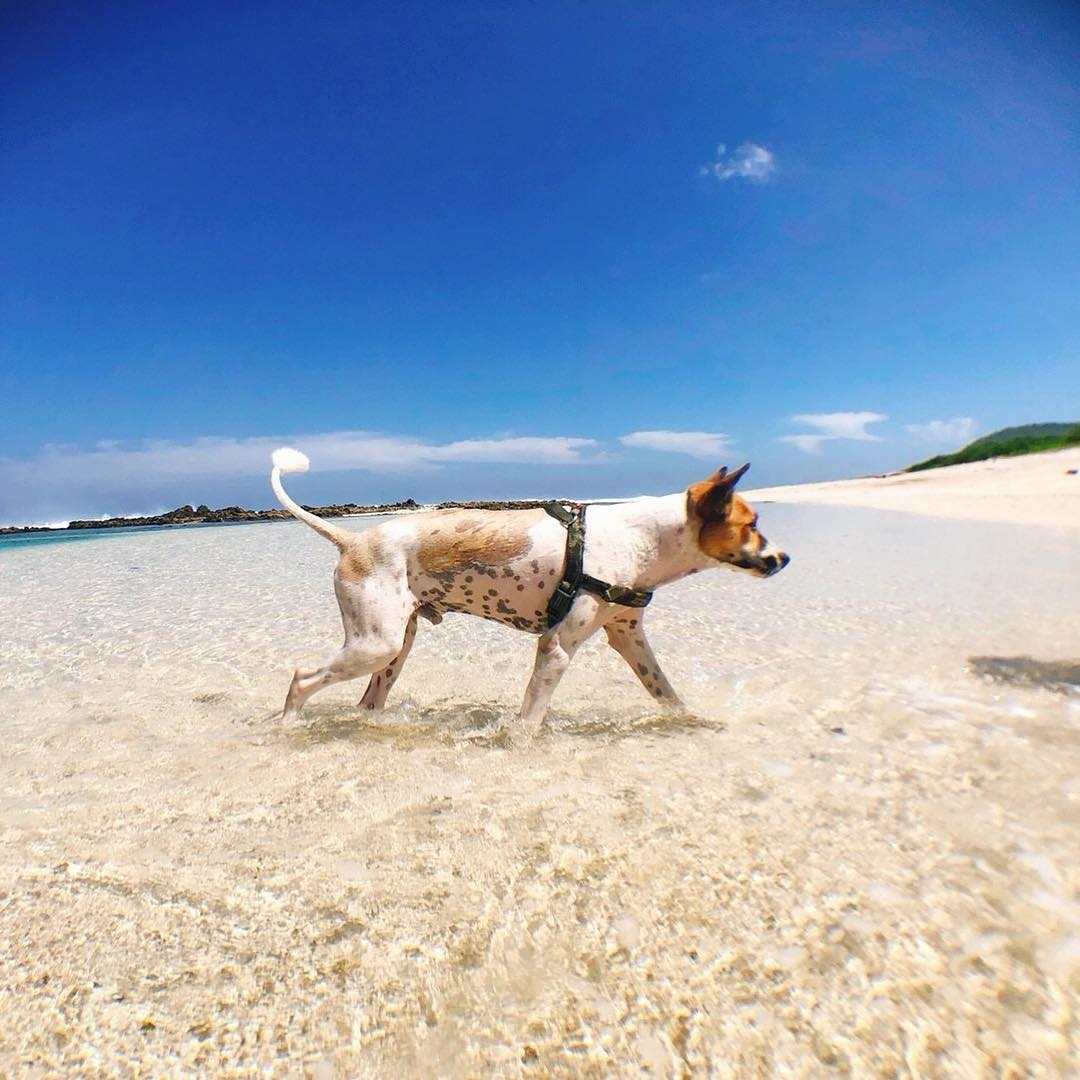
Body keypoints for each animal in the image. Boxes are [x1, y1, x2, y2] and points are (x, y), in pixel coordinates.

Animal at [270, 442, 790, 730]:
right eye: (752, 524)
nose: (784, 558)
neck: (642, 538)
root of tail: (351, 538)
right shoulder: (556, 648)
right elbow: (530, 721)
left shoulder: (628, 636)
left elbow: (666, 694)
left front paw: (695, 721)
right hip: (374, 644)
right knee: (301, 678)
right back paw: (287, 726)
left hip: (394, 649)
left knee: (366, 702)